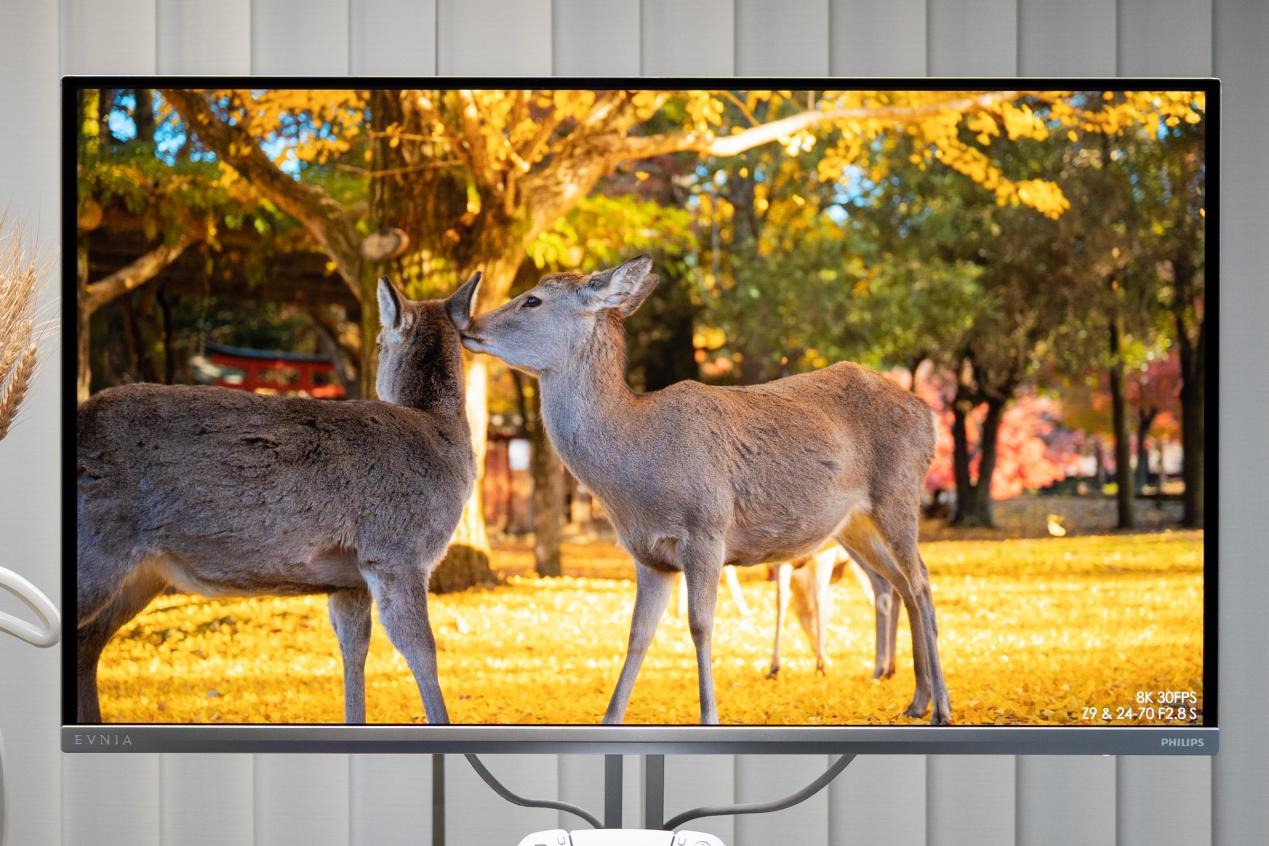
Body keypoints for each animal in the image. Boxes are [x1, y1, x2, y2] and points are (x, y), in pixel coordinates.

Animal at [74, 275, 479, 725]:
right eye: (378, 341)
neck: (443, 438)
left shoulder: (349, 578)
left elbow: (354, 651)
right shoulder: (396, 551)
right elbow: (422, 652)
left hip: (143, 573)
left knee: (87, 640)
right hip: (97, 550)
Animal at [461, 254, 949, 725]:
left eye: (533, 300)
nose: (468, 325)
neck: (635, 477)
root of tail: (928, 415)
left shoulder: (706, 531)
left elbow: (700, 625)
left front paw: (710, 715)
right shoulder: (648, 554)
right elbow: (637, 634)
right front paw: (610, 718)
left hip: (899, 493)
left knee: (922, 581)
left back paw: (940, 706)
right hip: (852, 525)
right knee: (902, 584)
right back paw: (915, 700)